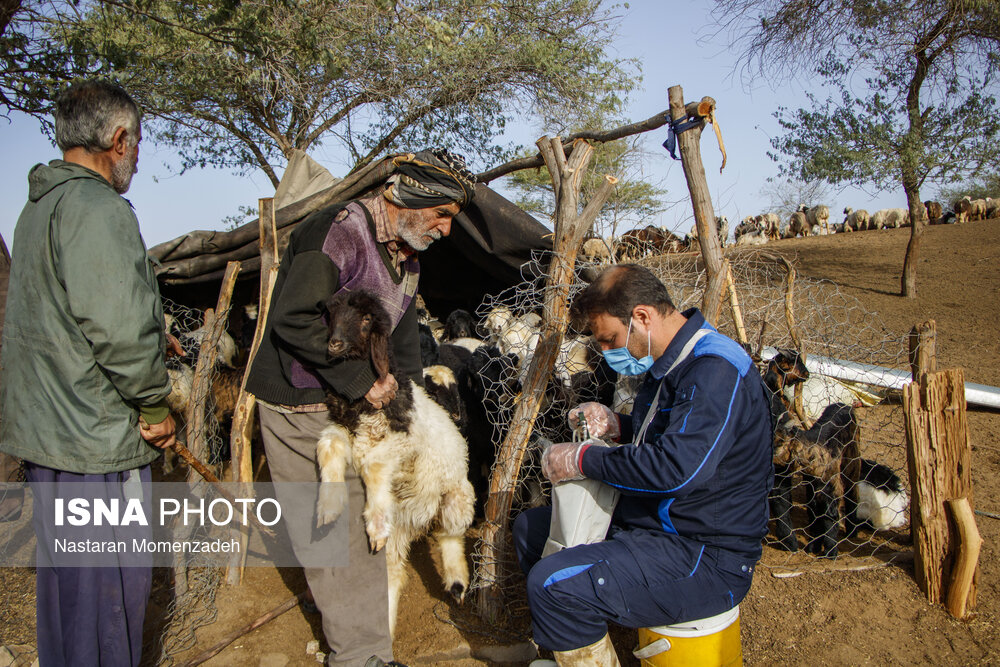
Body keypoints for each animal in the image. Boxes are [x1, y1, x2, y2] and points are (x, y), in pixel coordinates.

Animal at [318, 290, 478, 636]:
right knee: (393, 573)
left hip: (457, 498)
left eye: (367, 319)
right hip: (401, 529)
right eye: (331, 314)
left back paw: (457, 582)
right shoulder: (347, 434)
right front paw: (328, 507)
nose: (334, 344)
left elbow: (374, 466)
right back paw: (388, 624)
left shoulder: (402, 445)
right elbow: (328, 447)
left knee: (449, 535)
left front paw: (375, 522)